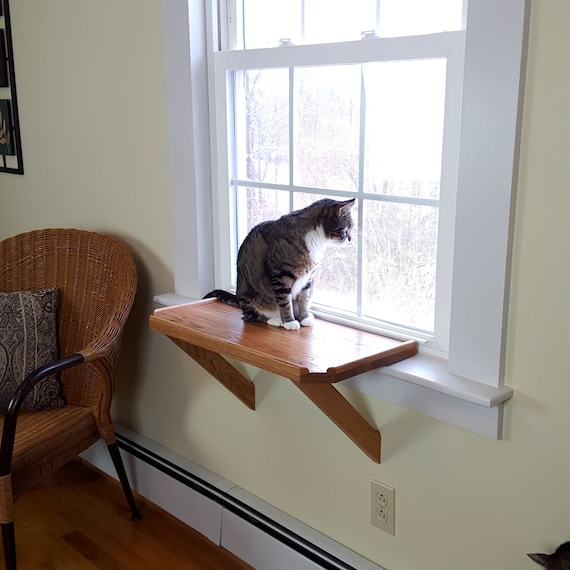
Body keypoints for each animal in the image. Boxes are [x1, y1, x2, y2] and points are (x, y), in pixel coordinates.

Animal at [204, 197, 352, 328]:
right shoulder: (281, 276)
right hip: (250, 297)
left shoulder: (308, 278)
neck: (317, 242)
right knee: (251, 316)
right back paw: (275, 320)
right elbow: (285, 302)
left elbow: (303, 299)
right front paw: (289, 321)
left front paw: (304, 317)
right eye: (348, 228)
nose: (350, 238)